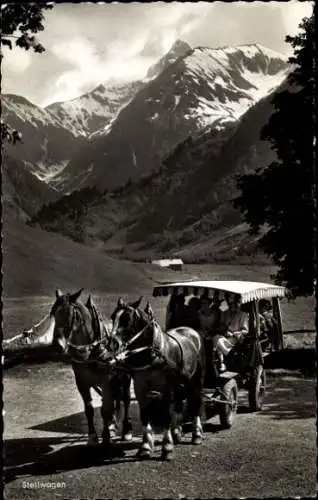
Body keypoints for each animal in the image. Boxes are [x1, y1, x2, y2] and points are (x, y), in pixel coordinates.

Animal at [48, 288, 133, 456]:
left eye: (71, 314)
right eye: (53, 313)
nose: (57, 345)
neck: (91, 348)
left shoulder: (106, 380)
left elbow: (105, 409)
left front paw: (106, 439)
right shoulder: (82, 381)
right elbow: (89, 409)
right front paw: (93, 437)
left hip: (125, 376)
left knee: (125, 399)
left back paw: (126, 429)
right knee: (115, 399)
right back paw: (113, 424)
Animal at [108, 296, 205, 460]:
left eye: (127, 320)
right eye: (113, 317)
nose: (111, 345)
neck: (151, 352)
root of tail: (192, 331)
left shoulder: (165, 389)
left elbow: (165, 416)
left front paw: (167, 447)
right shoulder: (140, 387)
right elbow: (145, 415)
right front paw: (145, 446)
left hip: (195, 379)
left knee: (195, 402)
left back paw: (196, 434)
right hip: (180, 382)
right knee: (179, 402)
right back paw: (177, 432)